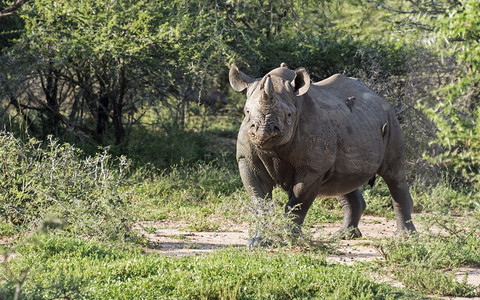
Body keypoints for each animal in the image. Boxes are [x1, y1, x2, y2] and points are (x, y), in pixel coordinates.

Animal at [229, 63, 416, 246]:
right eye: (246, 112)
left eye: (289, 115)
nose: (263, 130)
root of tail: (378, 97)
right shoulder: (247, 160)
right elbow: (260, 201)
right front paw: (259, 242)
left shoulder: (312, 167)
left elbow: (298, 202)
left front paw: (290, 241)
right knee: (342, 181)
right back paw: (344, 235)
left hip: (391, 120)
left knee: (394, 175)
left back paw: (404, 238)